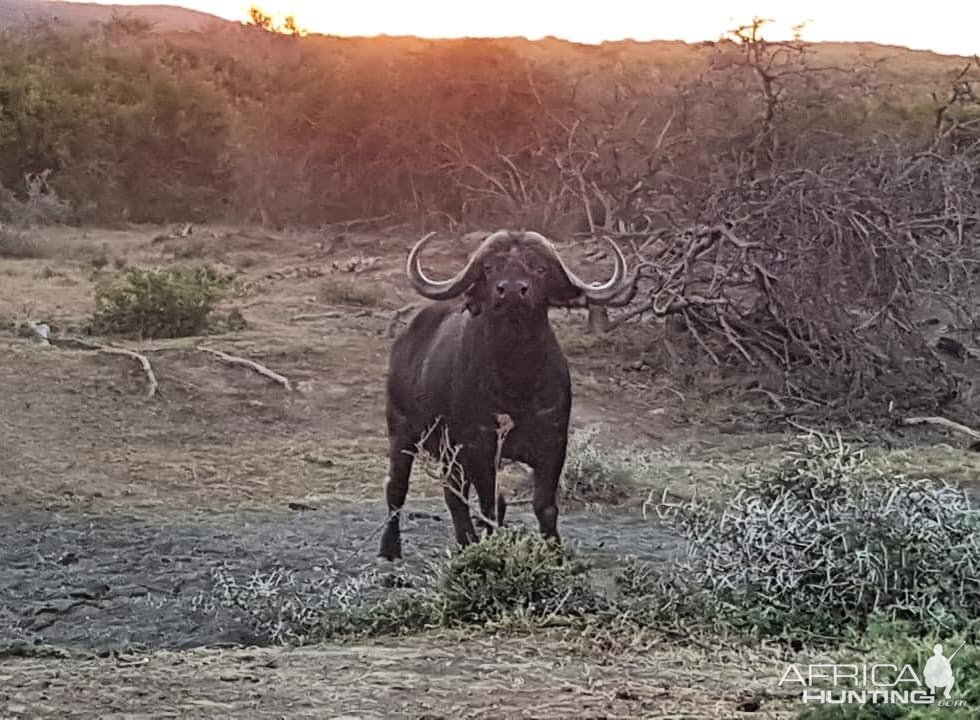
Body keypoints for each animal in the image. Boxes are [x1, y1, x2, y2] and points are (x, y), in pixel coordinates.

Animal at [376, 228, 628, 560]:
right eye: (490, 267)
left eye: (539, 268)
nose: (511, 290)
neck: (516, 380)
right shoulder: (479, 446)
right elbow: (489, 506)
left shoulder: (553, 445)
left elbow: (543, 506)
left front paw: (555, 551)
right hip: (402, 431)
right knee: (399, 488)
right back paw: (392, 548)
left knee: (453, 492)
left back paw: (464, 541)